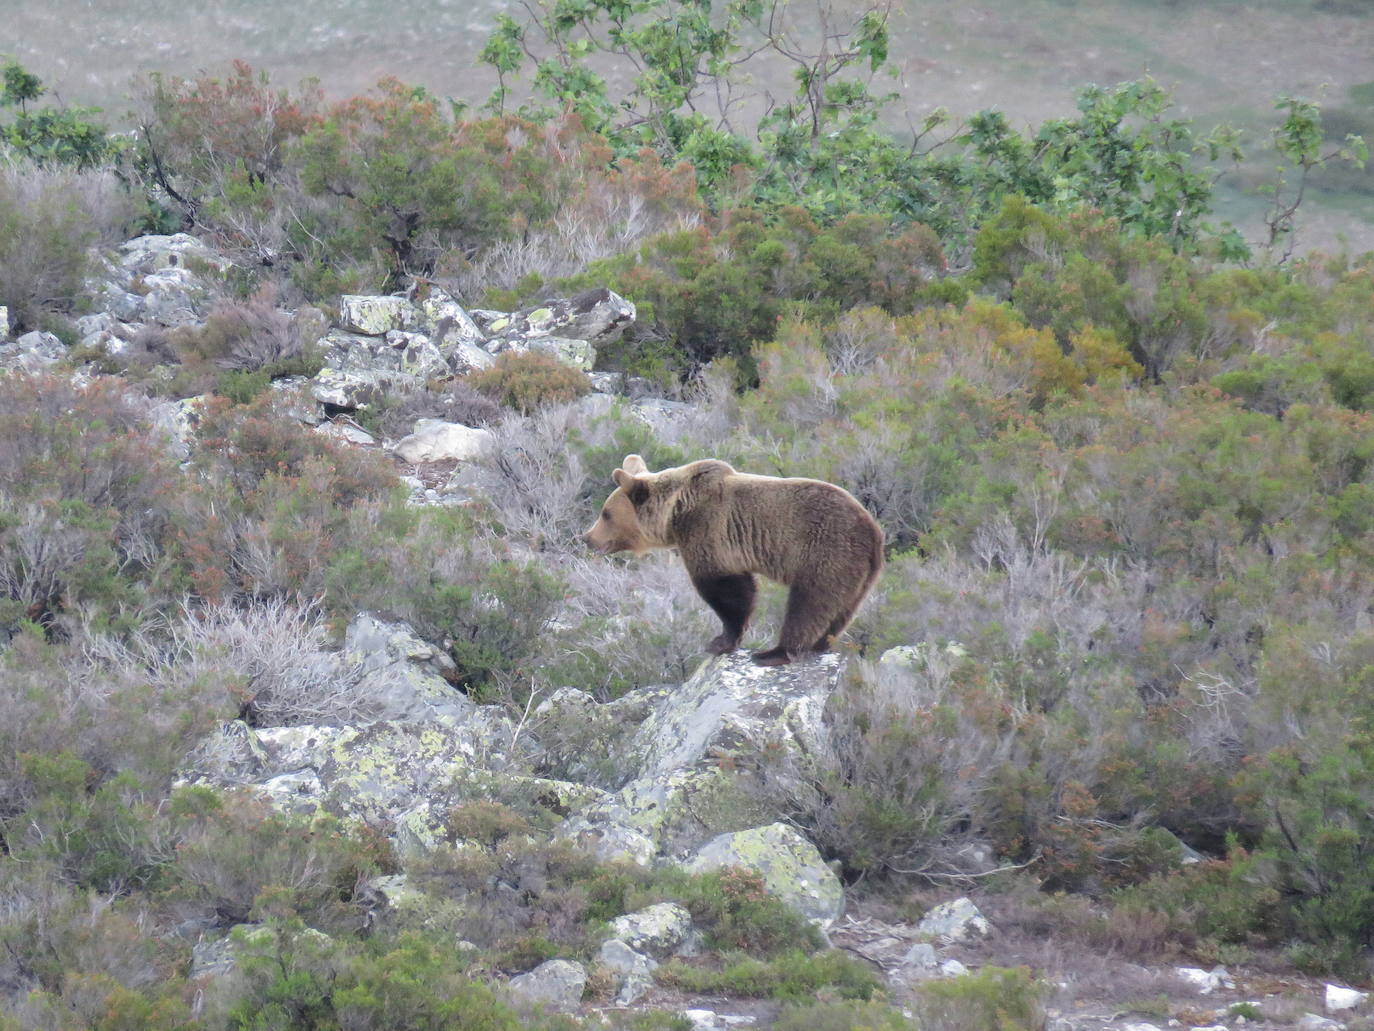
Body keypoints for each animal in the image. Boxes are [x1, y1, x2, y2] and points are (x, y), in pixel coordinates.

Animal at [582, 453, 884, 665]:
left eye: (606, 514)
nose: (587, 537)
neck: (674, 514)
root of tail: (873, 530)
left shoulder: (708, 530)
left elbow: (727, 590)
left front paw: (720, 641)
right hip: (860, 575)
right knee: (840, 610)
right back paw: (821, 643)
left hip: (826, 552)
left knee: (810, 604)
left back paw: (774, 652)